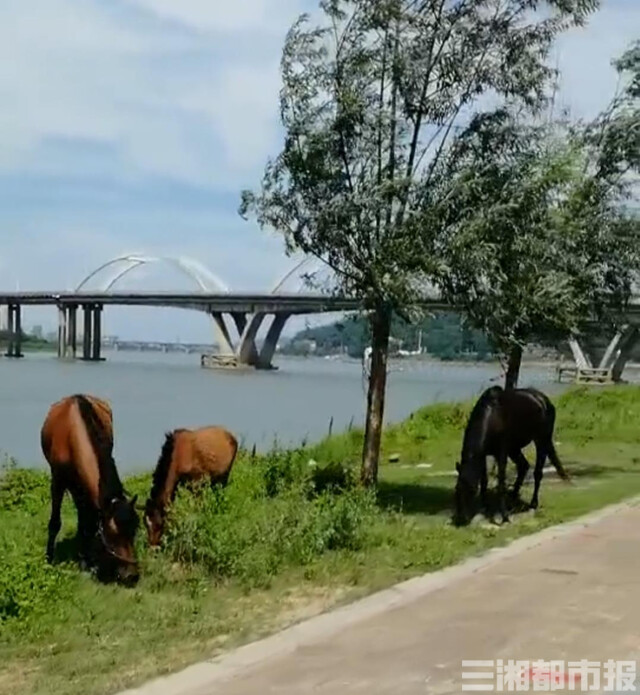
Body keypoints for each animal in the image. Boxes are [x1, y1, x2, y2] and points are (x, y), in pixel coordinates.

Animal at [41, 394, 140, 584]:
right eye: (113, 533)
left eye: (134, 530)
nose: (131, 575)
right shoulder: (58, 480)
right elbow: (55, 522)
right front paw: (49, 559)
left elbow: (87, 521)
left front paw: (87, 560)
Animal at [450, 386, 568, 528]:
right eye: (456, 489)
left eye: (472, 491)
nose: (461, 519)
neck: (491, 416)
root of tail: (544, 400)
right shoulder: (483, 455)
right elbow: (484, 481)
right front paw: (484, 507)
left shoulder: (501, 453)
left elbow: (501, 482)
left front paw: (504, 517)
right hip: (515, 448)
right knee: (523, 466)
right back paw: (513, 497)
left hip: (541, 440)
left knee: (537, 473)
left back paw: (532, 504)